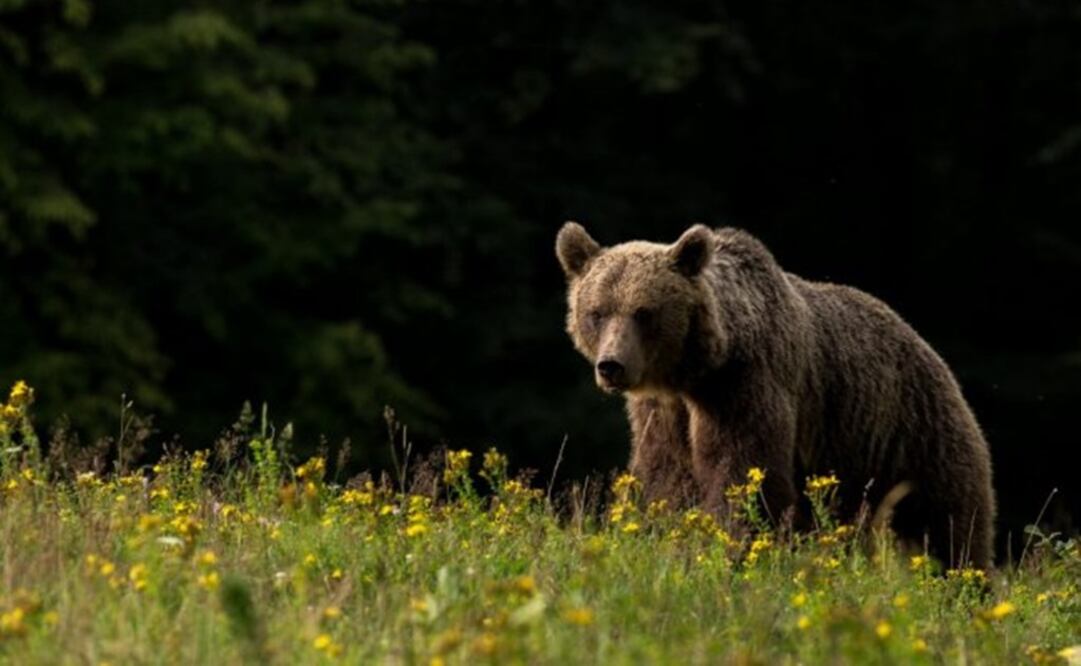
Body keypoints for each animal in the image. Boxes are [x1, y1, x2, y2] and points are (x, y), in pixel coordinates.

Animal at [556, 222, 996, 569]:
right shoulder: (663, 413)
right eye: (597, 311)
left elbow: (745, 473)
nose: (611, 366)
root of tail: (927, 347)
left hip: (910, 435)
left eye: (644, 312)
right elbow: (669, 480)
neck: (696, 372)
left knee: (948, 524)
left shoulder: (746, 387)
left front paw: (730, 550)